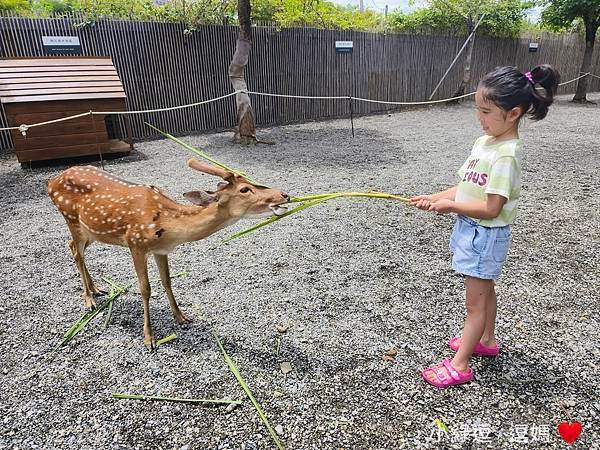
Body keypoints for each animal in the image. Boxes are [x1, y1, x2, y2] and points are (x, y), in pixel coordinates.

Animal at [49, 160, 288, 350]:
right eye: (245, 189)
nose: (284, 194)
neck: (168, 225)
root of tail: (51, 181)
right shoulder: (135, 244)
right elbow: (145, 289)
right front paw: (149, 338)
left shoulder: (161, 250)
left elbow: (167, 281)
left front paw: (181, 317)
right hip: (71, 218)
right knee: (76, 252)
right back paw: (89, 300)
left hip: (90, 231)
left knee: (73, 248)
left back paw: (96, 289)